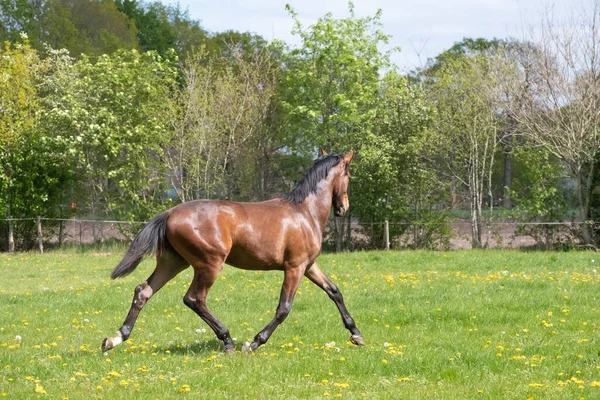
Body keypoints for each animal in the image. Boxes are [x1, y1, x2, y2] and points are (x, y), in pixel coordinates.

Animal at [101, 148, 364, 352]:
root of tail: (169, 213)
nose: (343, 208)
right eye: (349, 175)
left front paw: (356, 334)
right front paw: (254, 342)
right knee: (194, 298)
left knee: (143, 291)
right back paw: (227, 340)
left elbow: (334, 291)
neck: (305, 212)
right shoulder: (295, 268)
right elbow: (284, 308)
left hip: (173, 263)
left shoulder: (309, 266)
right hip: (209, 264)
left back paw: (115, 338)